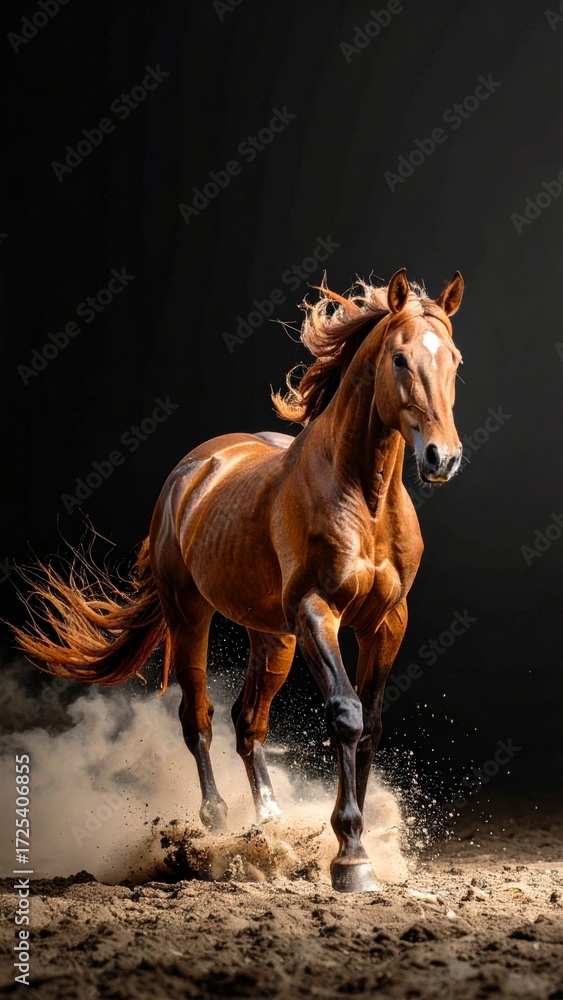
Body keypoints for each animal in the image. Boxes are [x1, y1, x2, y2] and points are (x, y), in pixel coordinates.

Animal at [12, 266, 464, 893]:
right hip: (191, 616)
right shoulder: (317, 612)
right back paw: (216, 827)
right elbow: (346, 715)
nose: (442, 457)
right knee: (198, 718)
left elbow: (370, 724)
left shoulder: (387, 622)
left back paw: (271, 828)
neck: (364, 498)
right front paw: (350, 857)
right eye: (399, 358)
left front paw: (352, 847)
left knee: (248, 722)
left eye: (455, 361)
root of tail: (192, 470)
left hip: (272, 637)